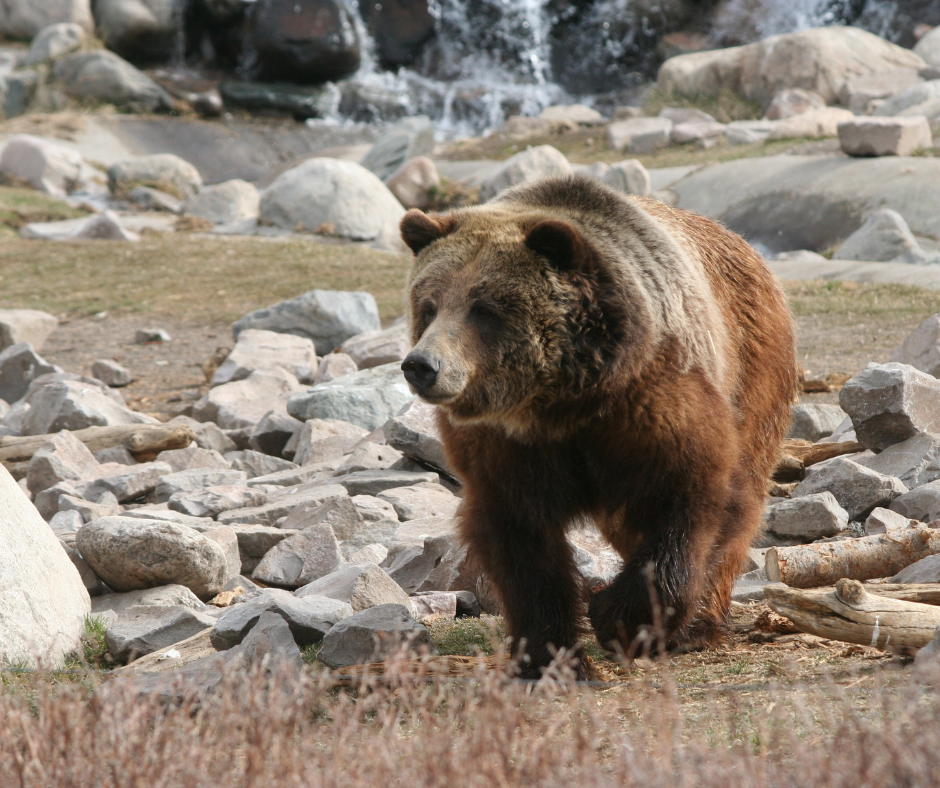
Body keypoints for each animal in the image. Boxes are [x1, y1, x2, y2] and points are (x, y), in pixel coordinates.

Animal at [398, 175, 797, 678]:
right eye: (429, 306)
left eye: (483, 308)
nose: (421, 365)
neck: (563, 403)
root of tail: (744, 245)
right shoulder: (506, 447)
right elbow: (521, 540)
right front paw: (551, 656)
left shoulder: (652, 405)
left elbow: (690, 499)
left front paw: (620, 619)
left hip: (752, 366)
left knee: (740, 497)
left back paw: (700, 624)